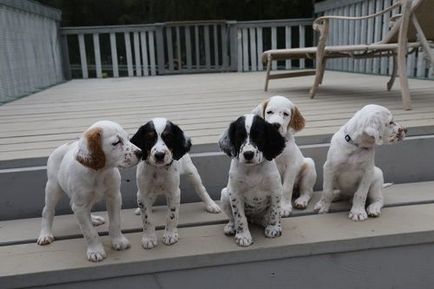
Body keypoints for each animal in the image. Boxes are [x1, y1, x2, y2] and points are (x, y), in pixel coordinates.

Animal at [37, 119, 142, 260]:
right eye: (116, 142)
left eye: (128, 138)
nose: (140, 153)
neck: (99, 173)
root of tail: (63, 146)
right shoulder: (80, 205)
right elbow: (89, 231)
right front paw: (95, 251)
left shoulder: (114, 197)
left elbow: (115, 222)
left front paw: (118, 241)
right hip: (53, 188)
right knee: (47, 211)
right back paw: (45, 234)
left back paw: (93, 219)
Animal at [130, 117, 220, 248]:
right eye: (149, 138)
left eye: (169, 137)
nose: (159, 155)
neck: (159, 170)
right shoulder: (143, 193)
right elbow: (146, 218)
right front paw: (149, 238)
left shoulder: (174, 193)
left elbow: (171, 216)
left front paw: (170, 235)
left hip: (191, 172)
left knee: (201, 189)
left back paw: (211, 205)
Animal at [219, 112, 286, 245]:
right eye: (239, 137)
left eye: (259, 136)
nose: (248, 154)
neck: (253, 169)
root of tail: (255, 219)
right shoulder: (235, 193)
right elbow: (239, 217)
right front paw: (243, 236)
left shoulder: (275, 190)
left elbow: (274, 211)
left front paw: (273, 228)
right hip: (224, 194)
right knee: (233, 217)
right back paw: (231, 226)